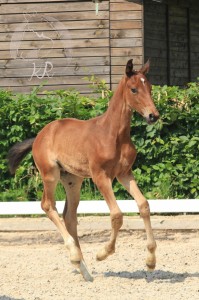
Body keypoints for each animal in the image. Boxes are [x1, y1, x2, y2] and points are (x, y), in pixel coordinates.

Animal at [8, 59, 159, 282]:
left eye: (149, 88)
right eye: (134, 89)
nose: (153, 115)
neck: (113, 134)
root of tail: (39, 136)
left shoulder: (124, 173)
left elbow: (144, 205)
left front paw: (150, 261)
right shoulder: (100, 176)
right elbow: (117, 215)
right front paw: (103, 253)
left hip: (73, 180)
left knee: (69, 216)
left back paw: (83, 268)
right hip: (50, 174)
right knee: (48, 206)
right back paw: (75, 256)